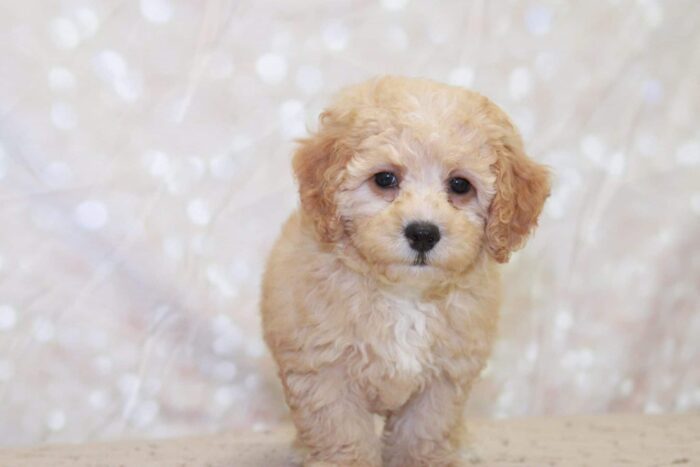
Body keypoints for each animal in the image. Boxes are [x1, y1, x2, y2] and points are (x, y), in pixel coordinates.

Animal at [260, 77, 548, 467]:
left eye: (460, 185)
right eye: (385, 179)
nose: (423, 233)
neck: (404, 295)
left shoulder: (442, 381)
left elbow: (422, 435)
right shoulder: (325, 373)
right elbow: (343, 435)